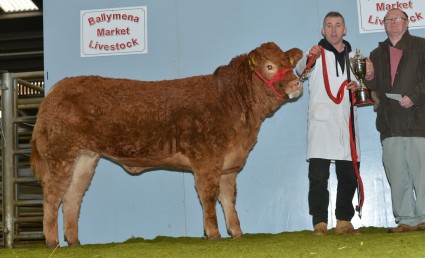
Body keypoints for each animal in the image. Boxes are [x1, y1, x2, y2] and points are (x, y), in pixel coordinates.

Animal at [30, 41, 302, 247]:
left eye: (289, 64)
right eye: (269, 66)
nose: (297, 83)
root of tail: (57, 87)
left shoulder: (230, 164)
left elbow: (229, 198)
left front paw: (237, 233)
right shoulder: (207, 159)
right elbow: (209, 196)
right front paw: (213, 234)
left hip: (85, 157)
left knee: (73, 195)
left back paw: (74, 241)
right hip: (61, 154)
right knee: (52, 194)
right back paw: (53, 241)